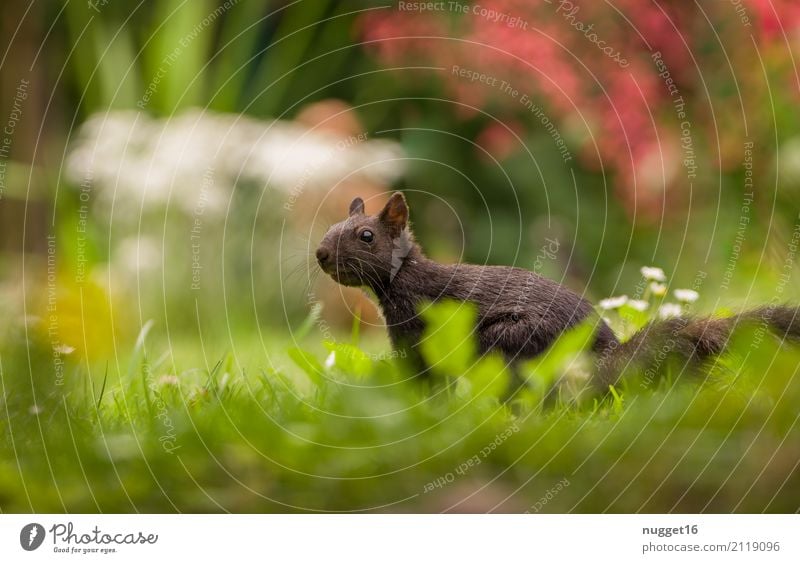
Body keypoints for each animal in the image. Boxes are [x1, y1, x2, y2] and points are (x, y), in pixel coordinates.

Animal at [316, 194, 800, 388]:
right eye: (330, 225)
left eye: (365, 236)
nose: (319, 254)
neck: (404, 280)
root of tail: (606, 358)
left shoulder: (416, 327)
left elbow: (421, 374)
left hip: (510, 339)